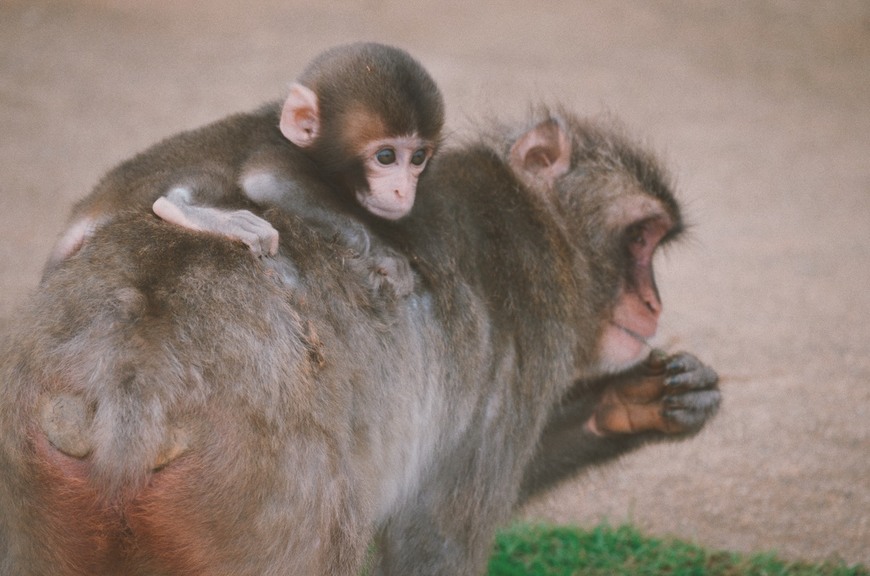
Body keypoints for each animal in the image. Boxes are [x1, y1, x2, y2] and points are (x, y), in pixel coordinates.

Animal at [0, 109, 724, 576]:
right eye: (641, 238)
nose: (652, 302)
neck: (538, 221)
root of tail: (130, 371)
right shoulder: (526, 328)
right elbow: (433, 541)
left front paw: (641, 401)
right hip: (268, 499)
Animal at [45, 42, 446, 268]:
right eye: (386, 157)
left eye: (418, 158)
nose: (403, 191)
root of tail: (92, 204)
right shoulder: (280, 155)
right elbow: (265, 182)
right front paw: (380, 250)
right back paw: (187, 209)